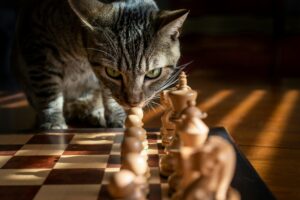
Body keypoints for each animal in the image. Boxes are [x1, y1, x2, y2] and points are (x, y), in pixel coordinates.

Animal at [12, 0, 190, 130]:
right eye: (113, 72)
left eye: (153, 73)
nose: (133, 102)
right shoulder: (38, 47)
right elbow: (48, 91)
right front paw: (53, 122)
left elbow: (108, 93)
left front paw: (116, 116)